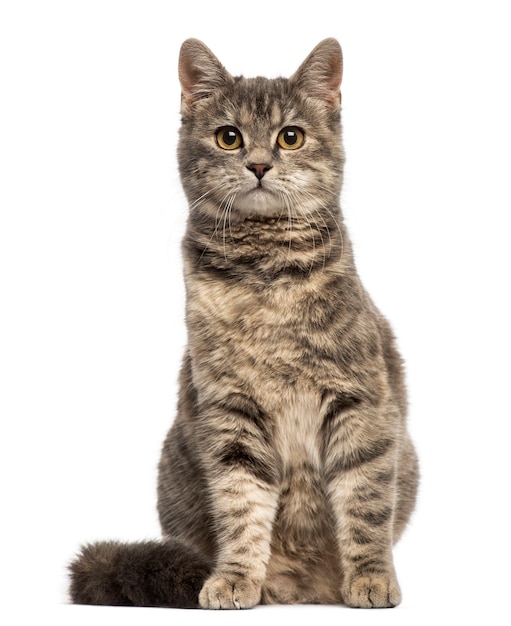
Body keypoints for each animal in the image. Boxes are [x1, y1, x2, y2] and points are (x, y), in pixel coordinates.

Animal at [69, 36, 420, 608]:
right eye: (228, 137)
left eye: (290, 137)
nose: (257, 164)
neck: (266, 276)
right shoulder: (230, 409)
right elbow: (240, 503)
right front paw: (235, 578)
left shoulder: (361, 400)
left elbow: (365, 503)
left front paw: (370, 578)